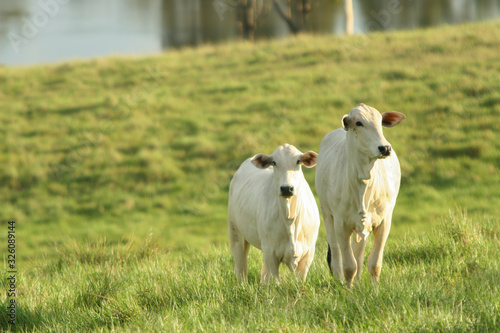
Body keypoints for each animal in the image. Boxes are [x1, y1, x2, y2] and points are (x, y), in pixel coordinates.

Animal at [228, 143, 320, 282]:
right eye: (274, 162)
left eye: (298, 161)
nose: (286, 188)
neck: (290, 218)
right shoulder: (270, 252)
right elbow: (274, 280)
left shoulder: (308, 253)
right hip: (236, 234)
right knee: (241, 269)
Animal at [316, 104, 406, 288]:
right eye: (359, 123)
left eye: (380, 121)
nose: (385, 148)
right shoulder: (341, 224)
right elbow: (349, 265)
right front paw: (348, 289)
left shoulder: (384, 221)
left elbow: (374, 262)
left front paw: (374, 288)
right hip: (327, 214)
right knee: (336, 252)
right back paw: (339, 278)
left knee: (359, 252)